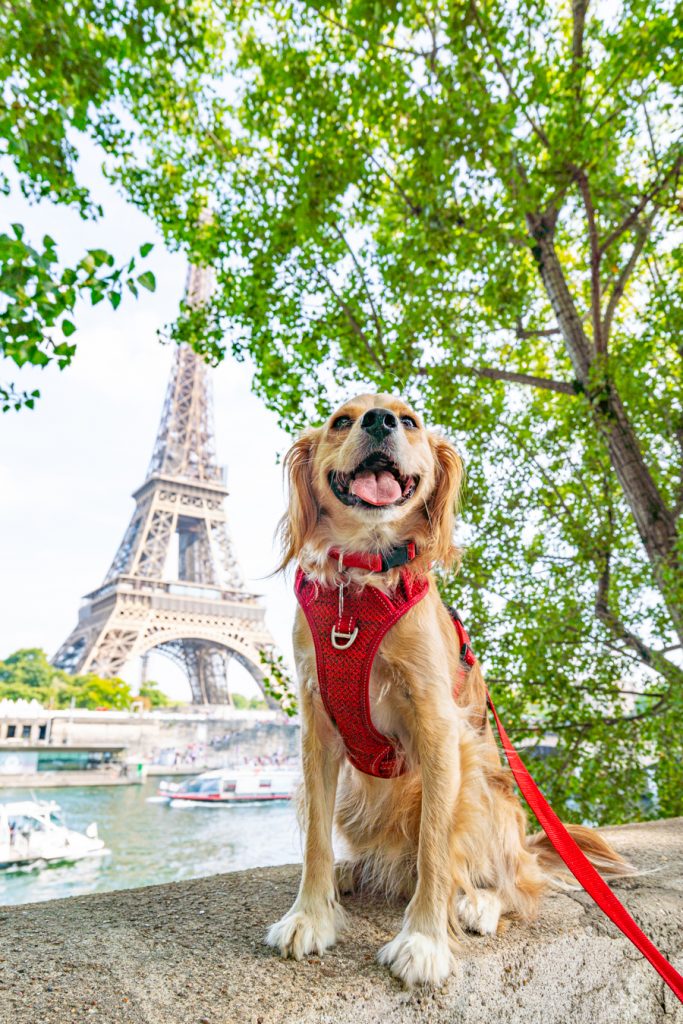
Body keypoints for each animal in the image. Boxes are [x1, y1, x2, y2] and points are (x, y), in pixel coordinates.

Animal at [266, 389, 630, 983]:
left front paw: (424, 941)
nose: (379, 421)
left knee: (515, 881)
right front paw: (310, 916)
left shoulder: (438, 729)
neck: (360, 587)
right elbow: (315, 840)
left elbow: (436, 850)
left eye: (409, 420)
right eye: (341, 421)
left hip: (484, 790)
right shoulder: (317, 729)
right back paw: (354, 871)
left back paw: (478, 901)